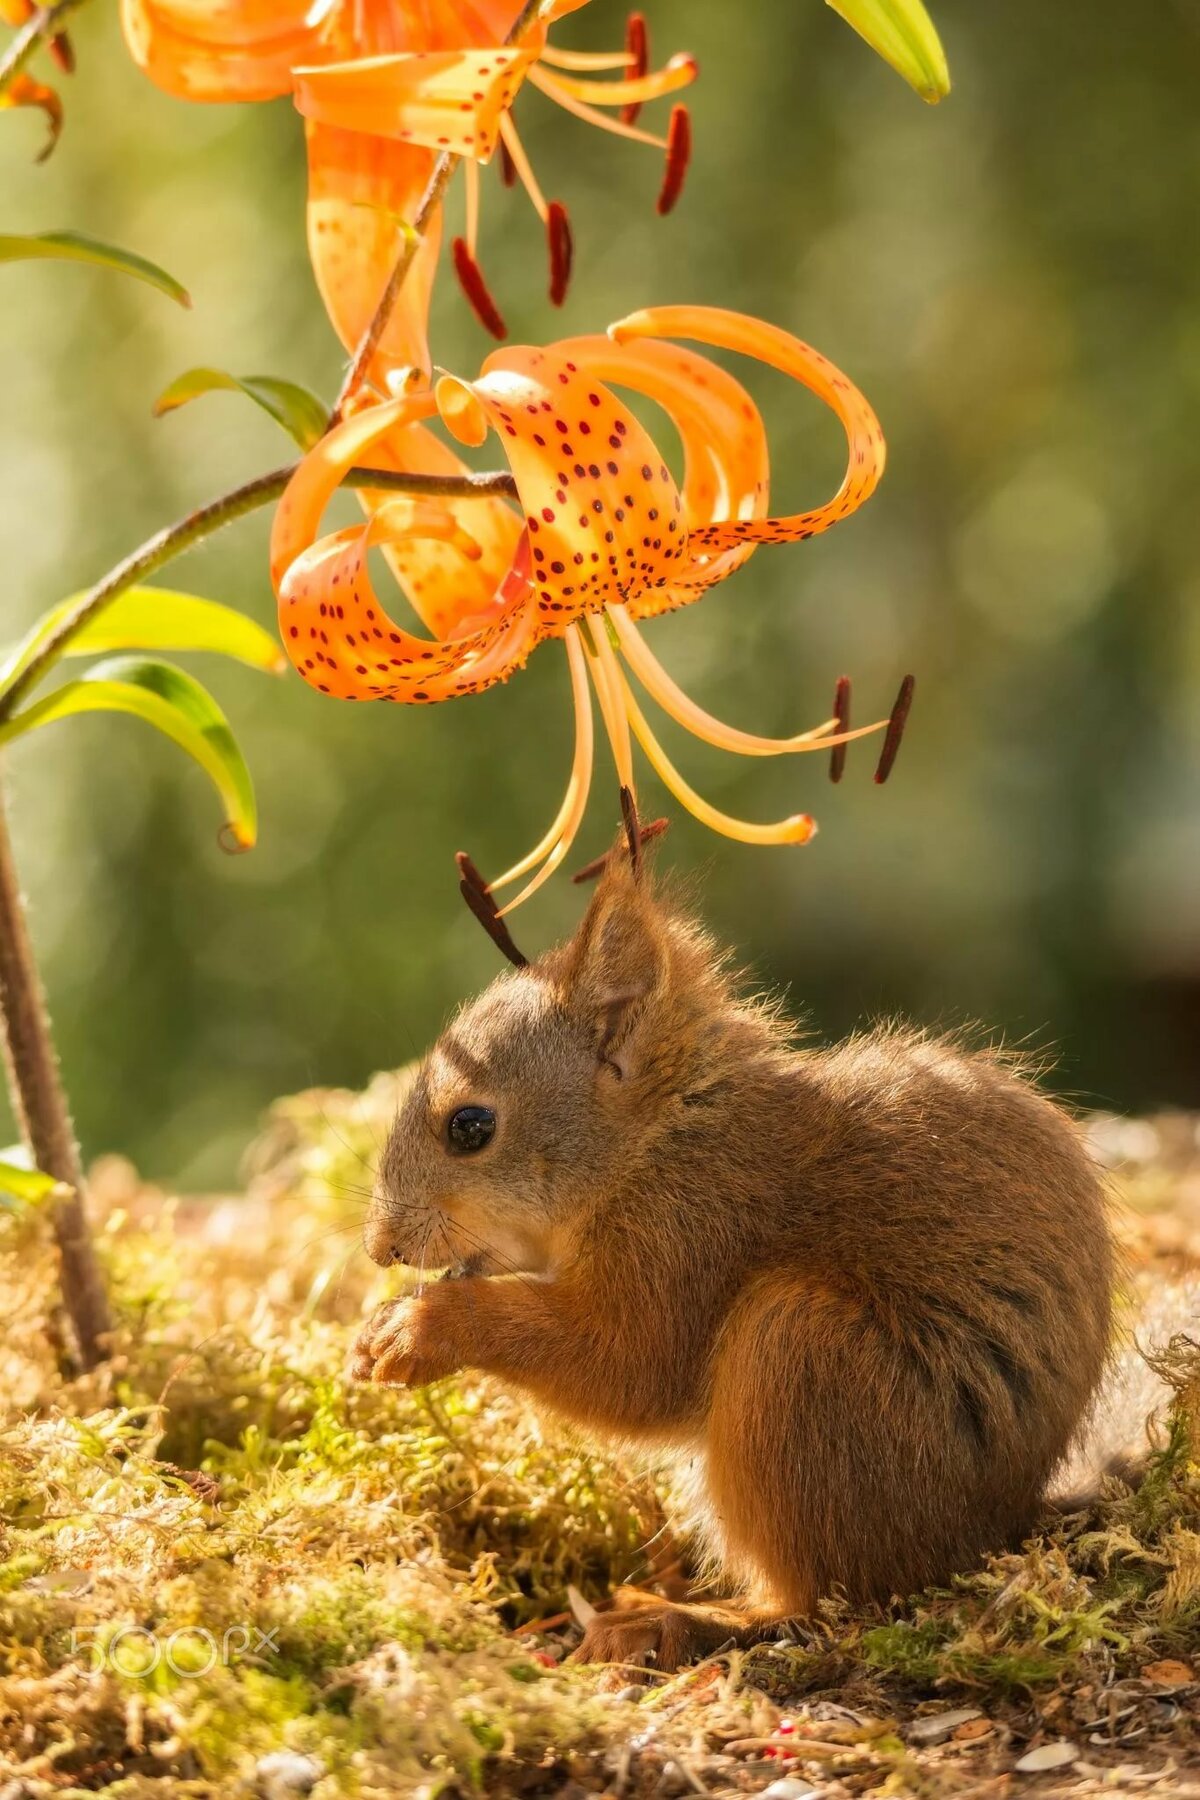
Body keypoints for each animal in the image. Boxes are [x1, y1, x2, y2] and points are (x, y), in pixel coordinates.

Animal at [351, 848, 1115, 1671]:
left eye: (469, 1126)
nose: (380, 1245)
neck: (660, 1139)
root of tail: (994, 1532)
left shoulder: (690, 1233)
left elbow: (631, 1366)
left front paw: (421, 1329)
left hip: (807, 1361)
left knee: (829, 1598)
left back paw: (683, 1620)